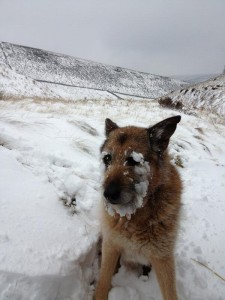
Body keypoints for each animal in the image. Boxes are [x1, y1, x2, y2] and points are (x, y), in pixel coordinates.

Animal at [94, 116, 182, 300]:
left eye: (133, 160)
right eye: (107, 159)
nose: (107, 194)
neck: (134, 215)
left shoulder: (163, 257)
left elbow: (170, 292)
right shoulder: (111, 245)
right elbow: (103, 280)